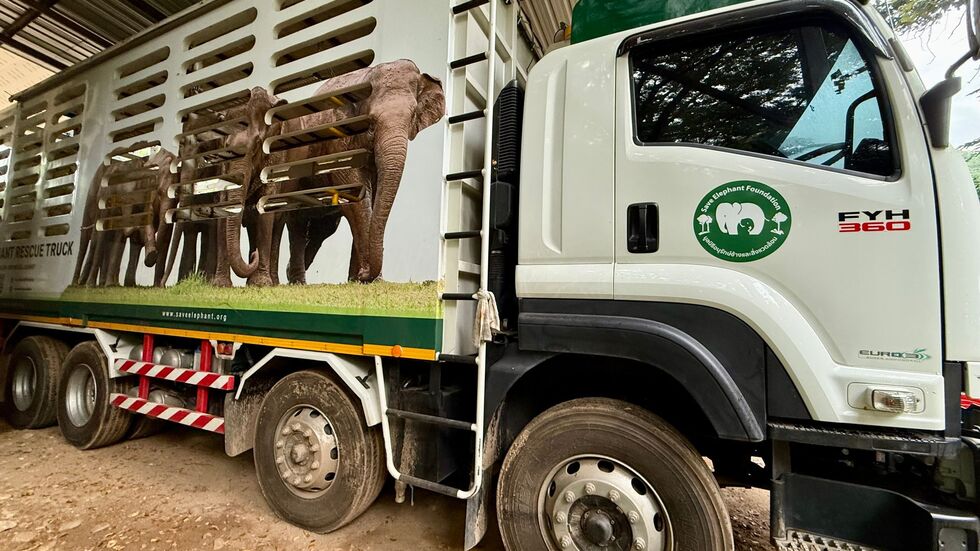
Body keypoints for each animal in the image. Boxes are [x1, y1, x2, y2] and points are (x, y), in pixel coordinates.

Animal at [279, 59, 445, 283]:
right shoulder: (338, 140)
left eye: (412, 116)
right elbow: (357, 198)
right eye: (371, 121)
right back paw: (297, 280)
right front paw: (365, 277)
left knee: (324, 228)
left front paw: (362, 280)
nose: (363, 274)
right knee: (297, 220)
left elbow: (372, 199)